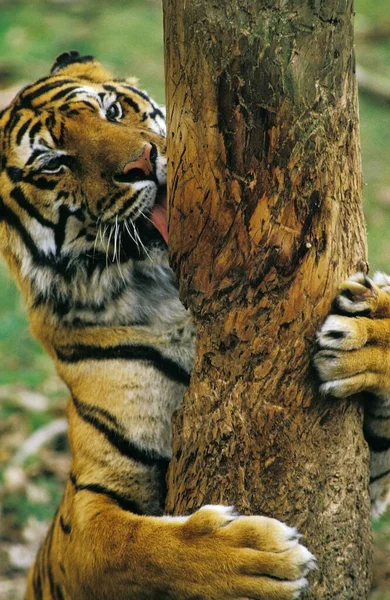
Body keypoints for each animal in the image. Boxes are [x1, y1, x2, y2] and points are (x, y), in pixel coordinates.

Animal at [0, 52, 316, 600]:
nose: (142, 163)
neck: (163, 286)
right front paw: (257, 559)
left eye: (111, 110)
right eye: (54, 163)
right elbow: (134, 548)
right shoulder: (85, 509)